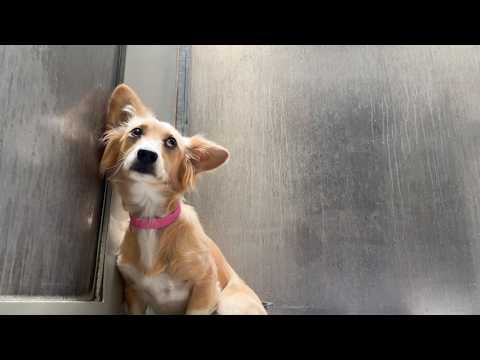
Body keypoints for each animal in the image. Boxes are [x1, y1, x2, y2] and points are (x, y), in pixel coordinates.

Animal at [100, 84, 268, 316]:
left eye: (171, 142)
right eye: (136, 132)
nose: (146, 154)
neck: (152, 222)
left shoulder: (206, 288)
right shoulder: (134, 293)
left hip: (229, 303)